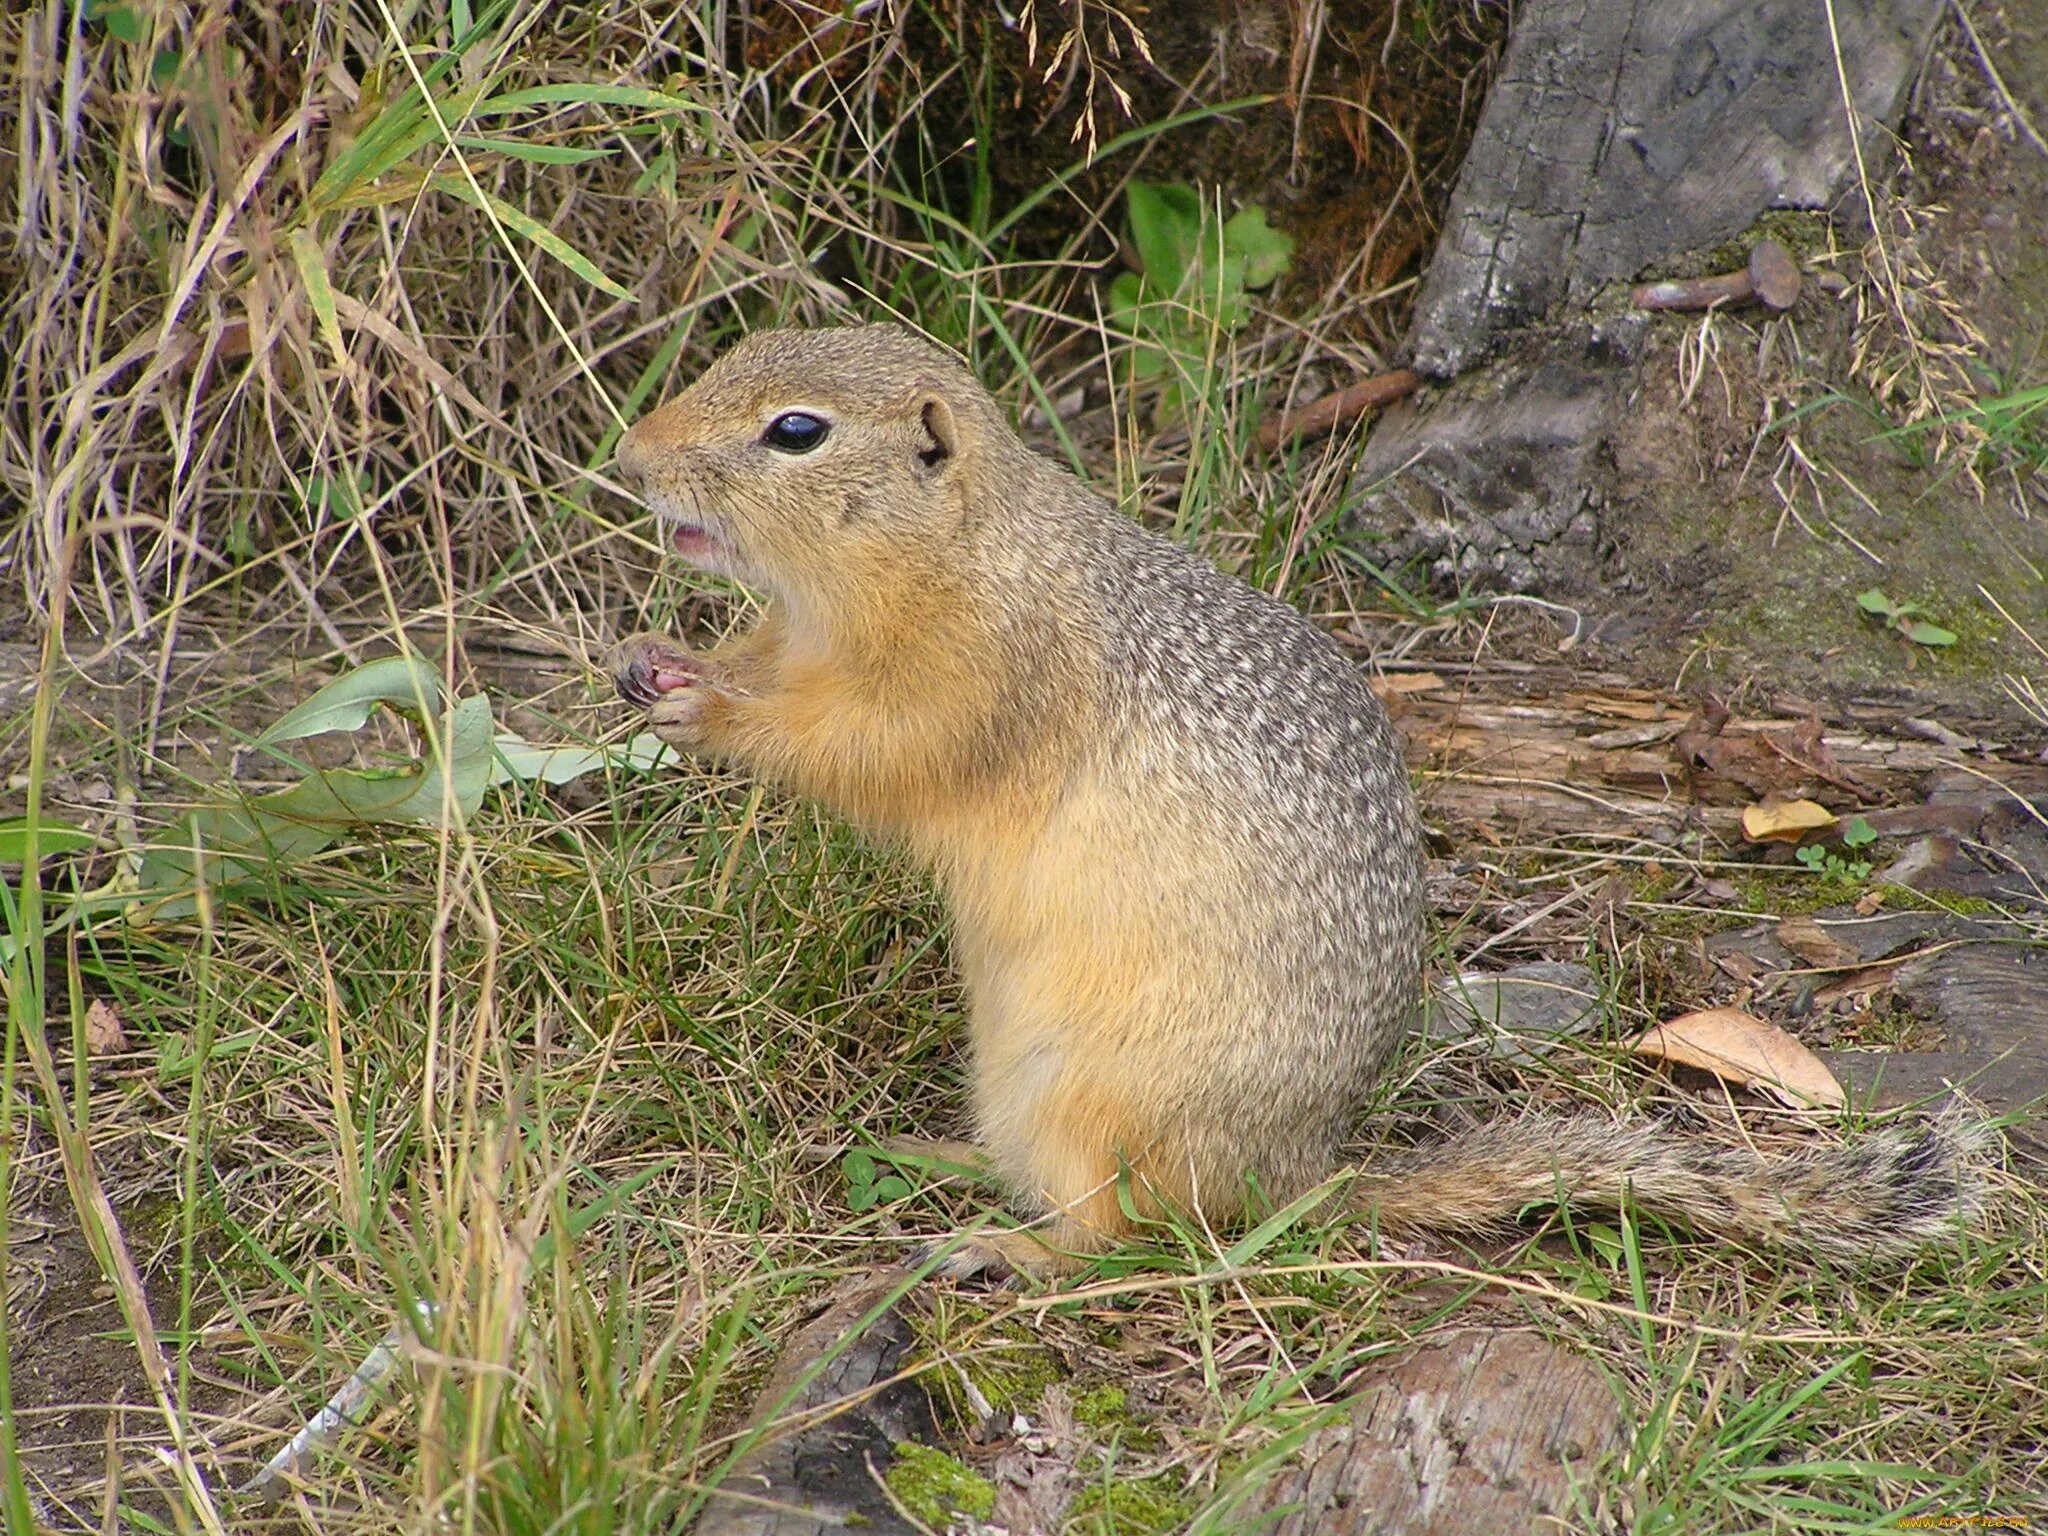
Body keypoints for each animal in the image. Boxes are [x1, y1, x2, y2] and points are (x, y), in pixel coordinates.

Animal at [606, 321, 1982, 1277]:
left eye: (795, 432)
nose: (627, 455)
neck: (944, 549)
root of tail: (1305, 1176)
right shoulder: (801, 638)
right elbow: (765, 667)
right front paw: (653, 659)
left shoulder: (978, 676)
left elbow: (872, 752)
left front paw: (712, 717)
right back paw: (934, 1155)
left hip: (1094, 1099)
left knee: (1132, 1235)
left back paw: (1008, 1247)